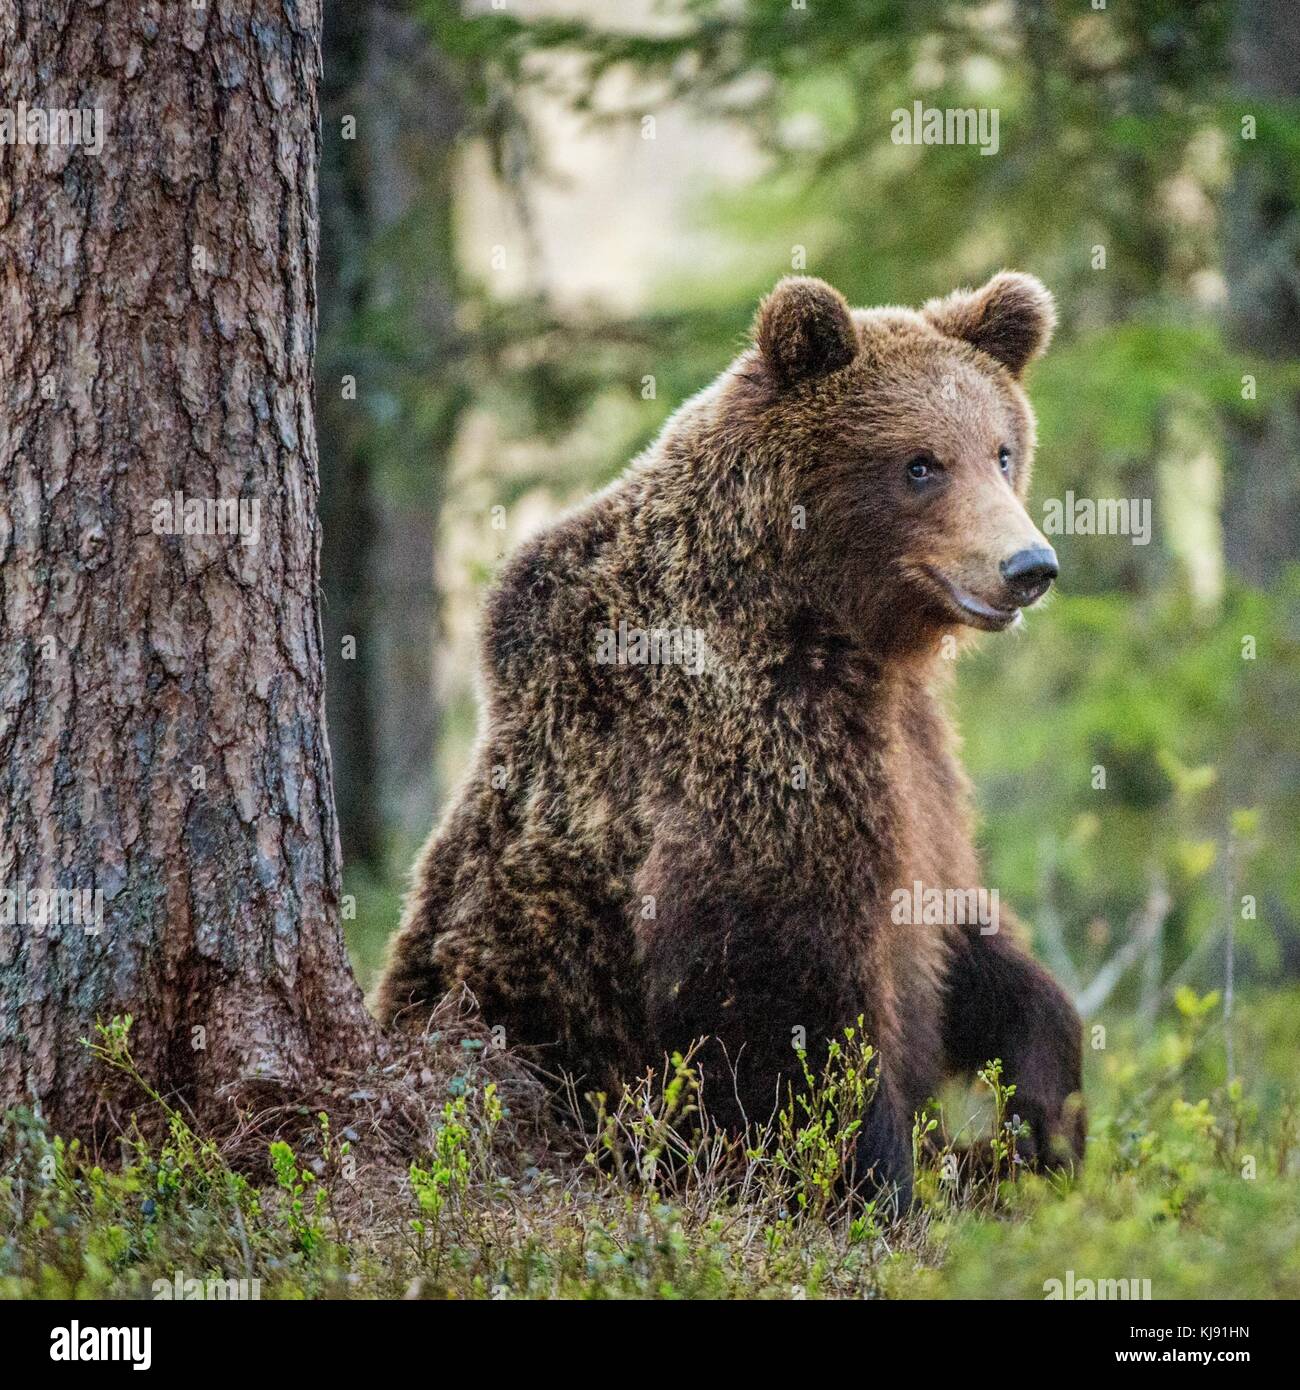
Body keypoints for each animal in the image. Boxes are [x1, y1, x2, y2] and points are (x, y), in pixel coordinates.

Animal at [376, 271, 1086, 1207]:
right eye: (920, 463)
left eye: (1002, 450)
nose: (1028, 566)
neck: (836, 628)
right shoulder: (754, 754)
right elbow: (786, 1014)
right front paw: (872, 1191)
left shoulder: (919, 759)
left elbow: (962, 929)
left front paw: (1048, 1115)